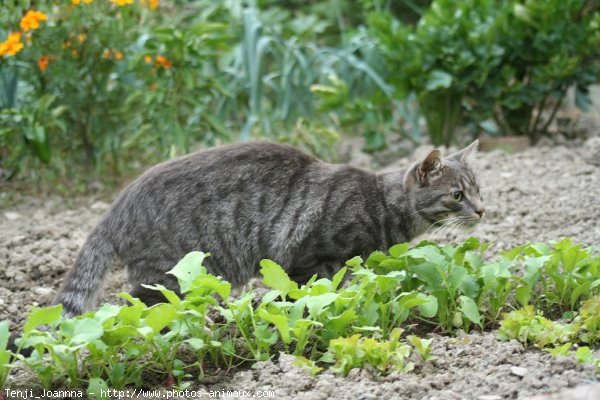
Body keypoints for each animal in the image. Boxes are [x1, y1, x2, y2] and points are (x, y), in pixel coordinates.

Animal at [55, 141, 482, 316]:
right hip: (175, 272)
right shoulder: (310, 259)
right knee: (140, 306)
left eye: (479, 190)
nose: (482, 210)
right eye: (457, 195)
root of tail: (115, 208)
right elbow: (303, 294)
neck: (381, 204)